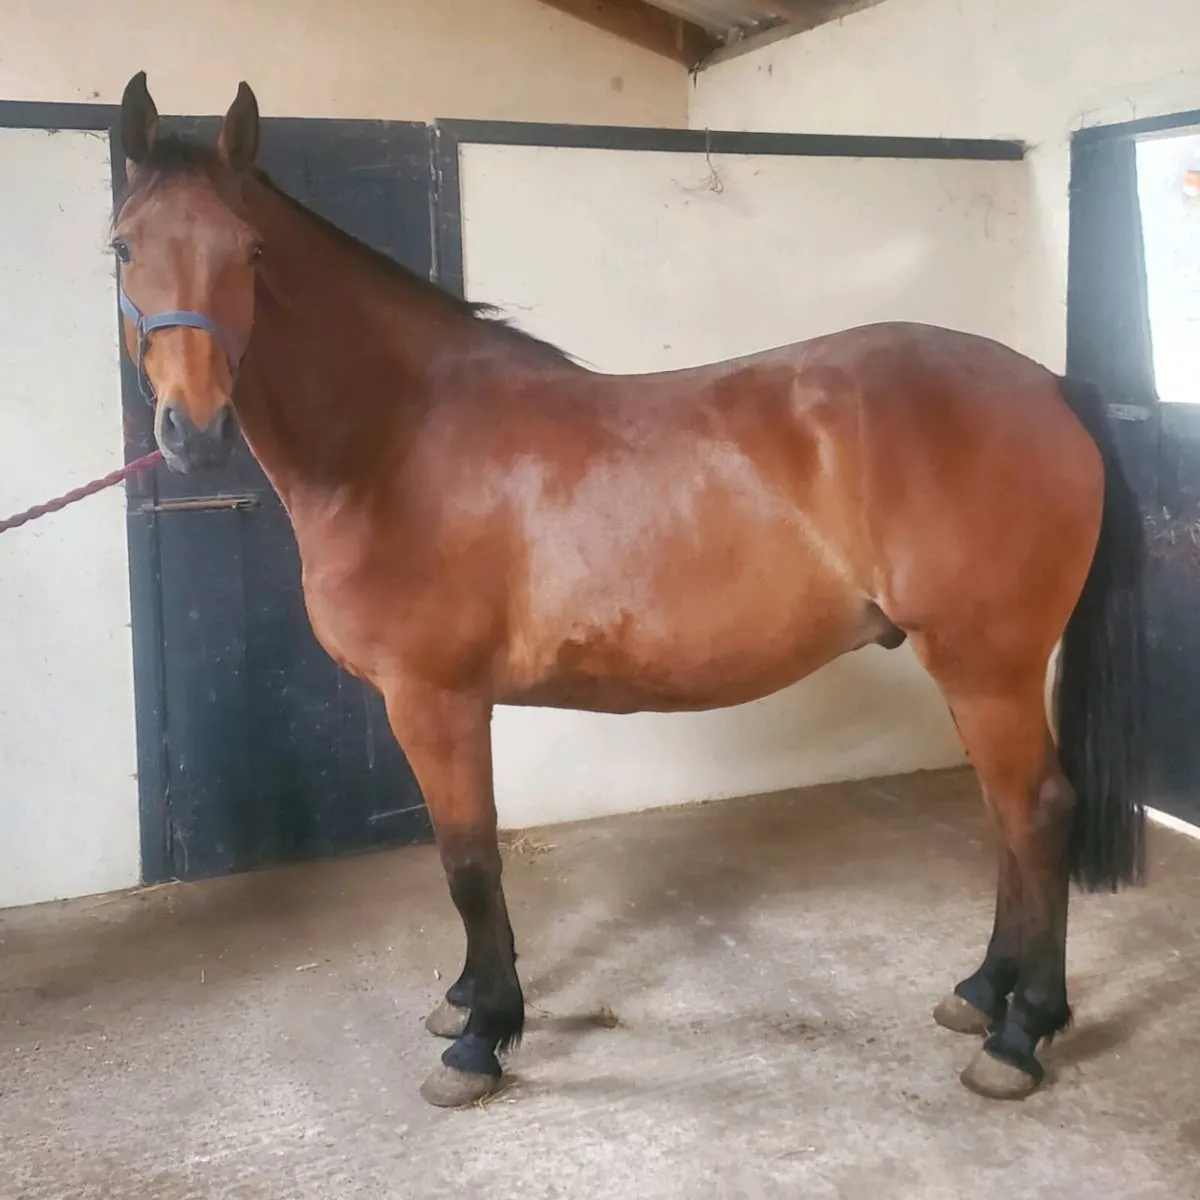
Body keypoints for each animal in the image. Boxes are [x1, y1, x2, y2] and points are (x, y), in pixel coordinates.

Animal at [111, 71, 1148, 1109]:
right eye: (123, 246)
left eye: (249, 251)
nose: (192, 433)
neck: (396, 440)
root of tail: (1050, 386)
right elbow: (468, 859)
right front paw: (467, 999)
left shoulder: (435, 701)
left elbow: (468, 859)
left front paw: (481, 1037)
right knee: (1007, 818)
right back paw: (981, 992)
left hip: (986, 663)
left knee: (1037, 812)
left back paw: (1020, 1033)